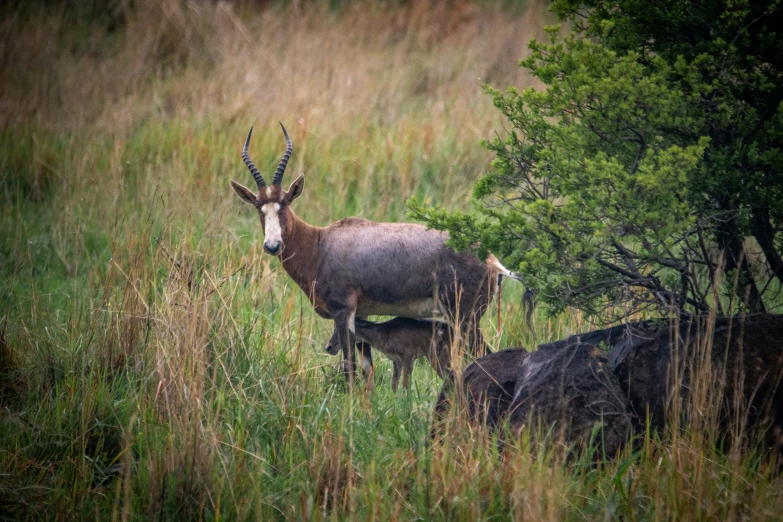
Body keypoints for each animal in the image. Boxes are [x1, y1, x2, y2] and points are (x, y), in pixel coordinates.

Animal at [233, 122, 528, 382]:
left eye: (284, 203)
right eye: (259, 207)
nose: (272, 245)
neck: (321, 243)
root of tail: (492, 261)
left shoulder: (343, 311)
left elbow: (349, 366)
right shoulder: (360, 314)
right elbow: (365, 366)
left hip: (465, 318)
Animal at [324, 316, 454, 390]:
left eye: (340, 329)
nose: (328, 347)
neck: (385, 332)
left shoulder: (409, 357)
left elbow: (405, 385)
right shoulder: (396, 361)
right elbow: (394, 385)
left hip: (438, 358)